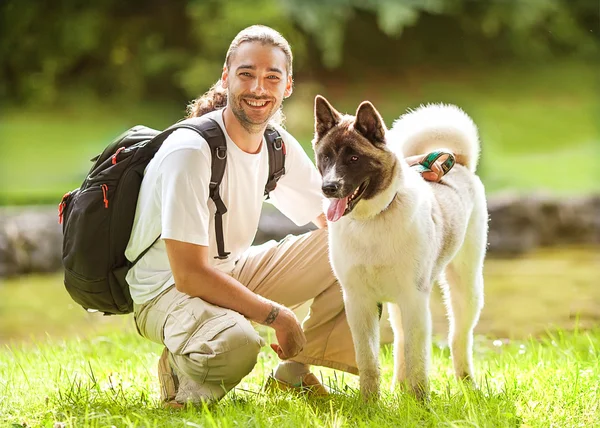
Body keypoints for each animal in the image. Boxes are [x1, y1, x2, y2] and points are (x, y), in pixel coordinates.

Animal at [314, 95, 488, 400]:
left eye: (354, 158)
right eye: (325, 157)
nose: (329, 187)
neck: (372, 221)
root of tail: (460, 162)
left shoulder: (414, 299)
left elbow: (418, 358)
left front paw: (421, 403)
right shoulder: (359, 303)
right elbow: (368, 359)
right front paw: (369, 403)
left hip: (465, 288)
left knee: (458, 337)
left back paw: (466, 384)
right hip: (398, 305)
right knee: (400, 341)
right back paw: (399, 387)